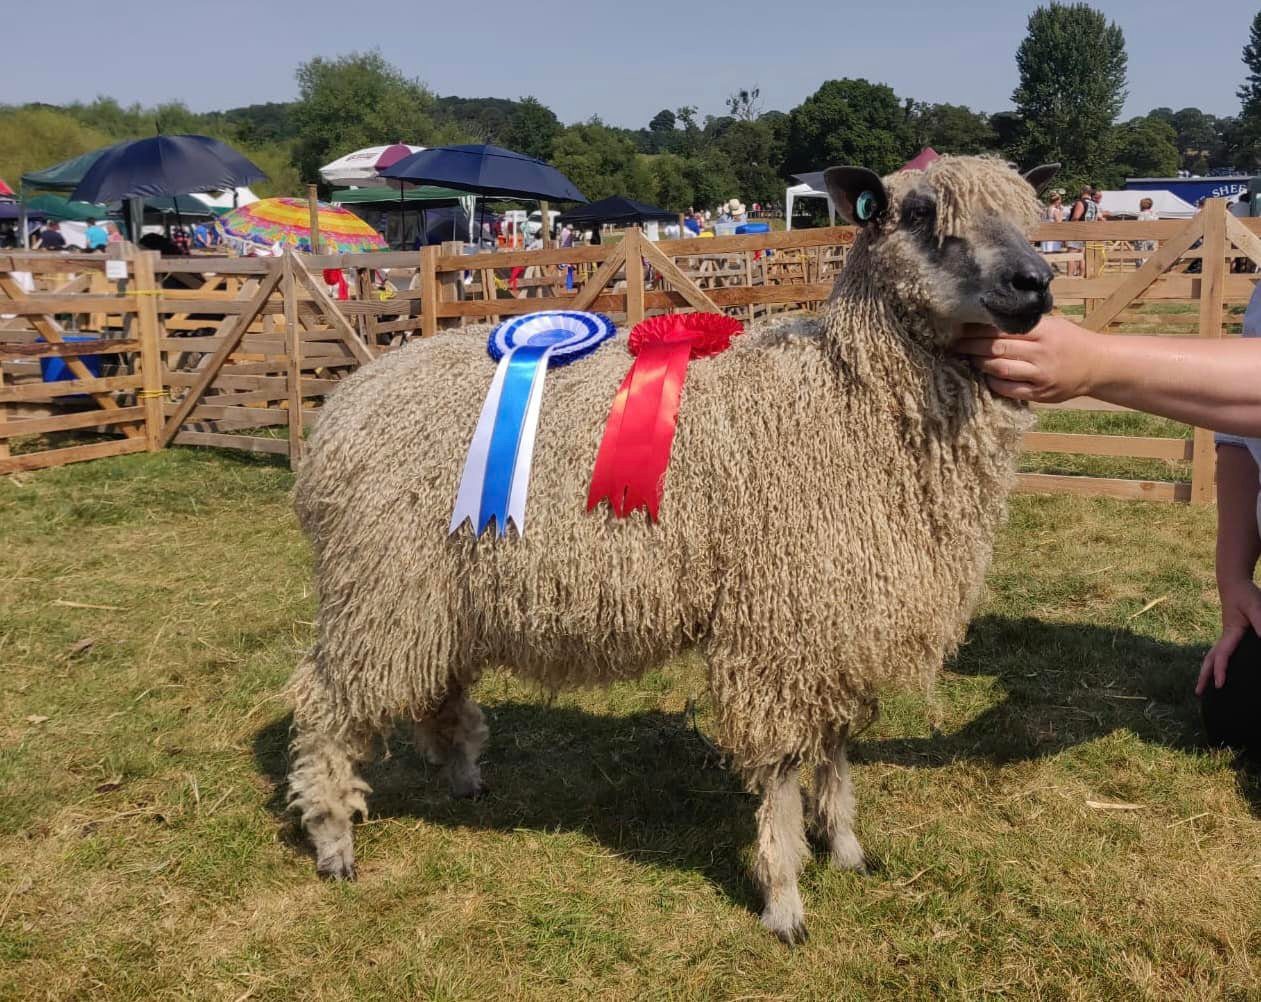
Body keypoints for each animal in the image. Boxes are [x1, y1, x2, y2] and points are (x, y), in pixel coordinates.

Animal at [285, 155, 1058, 944]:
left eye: (1024, 213)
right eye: (921, 214)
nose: (1035, 283)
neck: (843, 399)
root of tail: (340, 409)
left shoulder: (833, 613)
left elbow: (835, 745)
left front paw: (844, 845)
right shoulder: (778, 618)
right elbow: (784, 763)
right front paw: (784, 895)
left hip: (437, 594)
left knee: (436, 687)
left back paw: (465, 780)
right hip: (379, 584)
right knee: (325, 702)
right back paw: (333, 840)